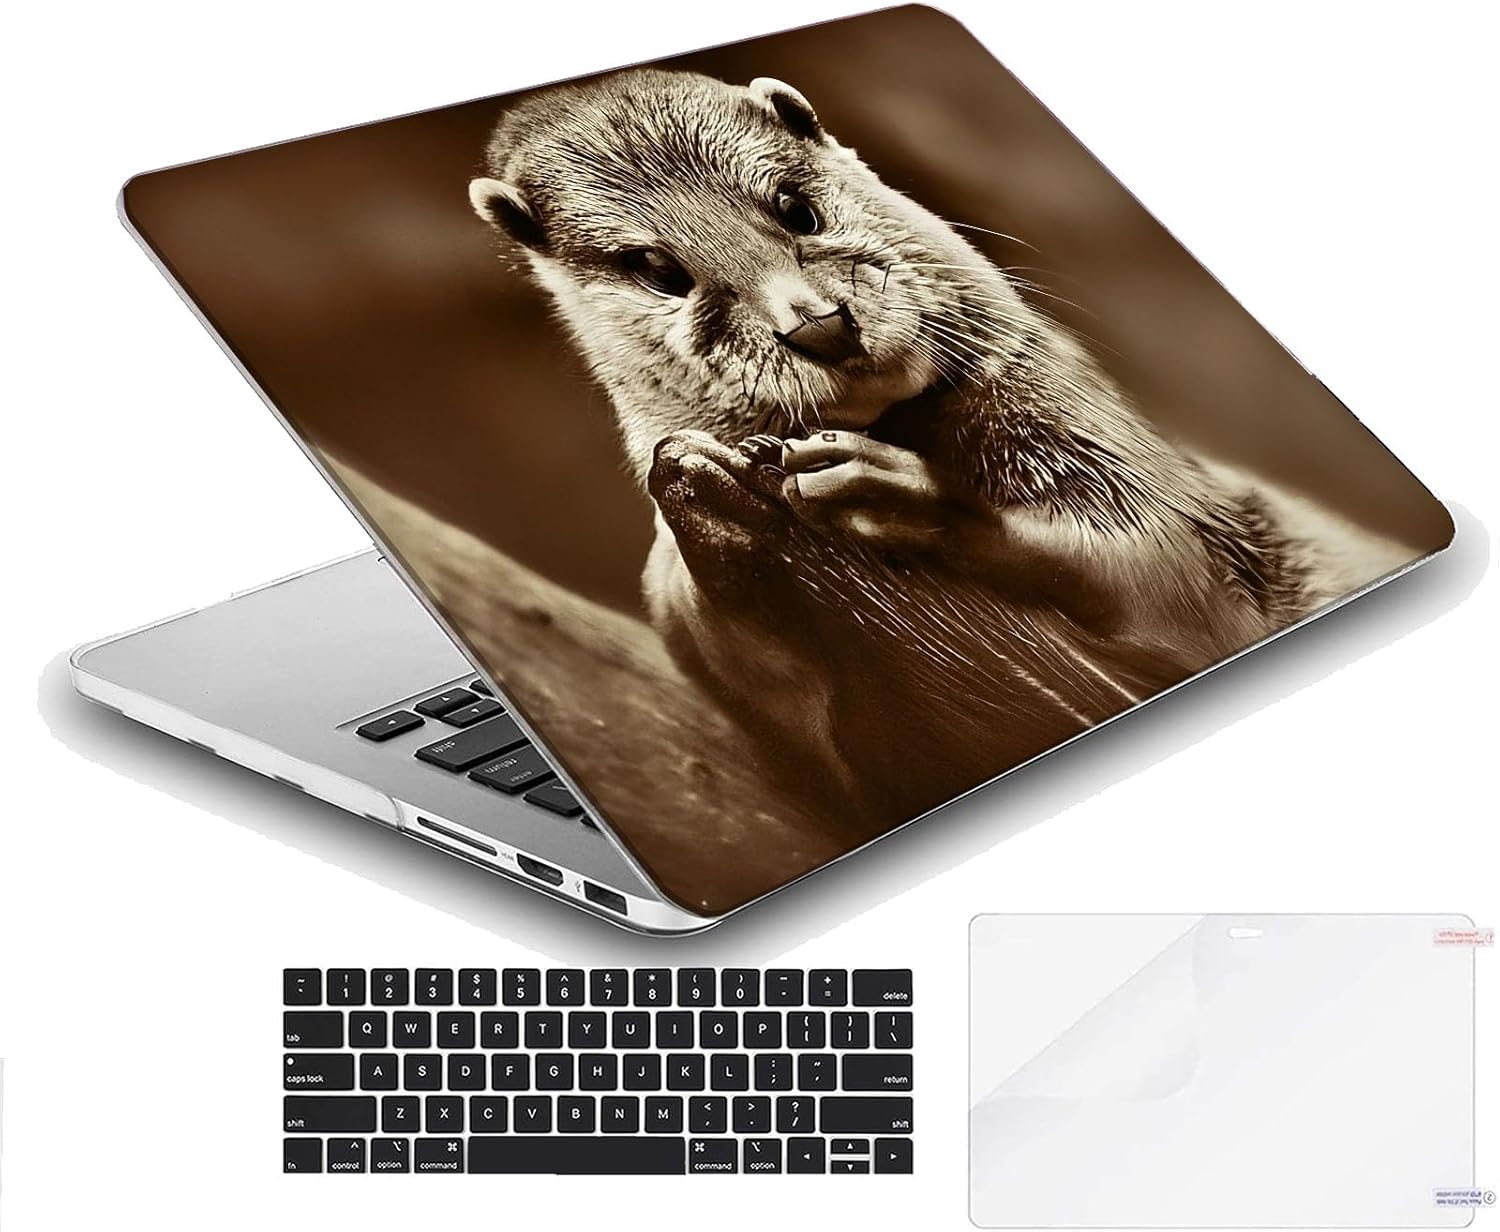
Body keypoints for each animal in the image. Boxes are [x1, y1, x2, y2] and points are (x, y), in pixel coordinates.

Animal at [467, 68, 1409, 822]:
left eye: (793, 206)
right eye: (661, 270)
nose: (817, 323)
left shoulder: (1137, 480)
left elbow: (1165, 585)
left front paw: (885, 488)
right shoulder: (681, 625)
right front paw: (704, 485)